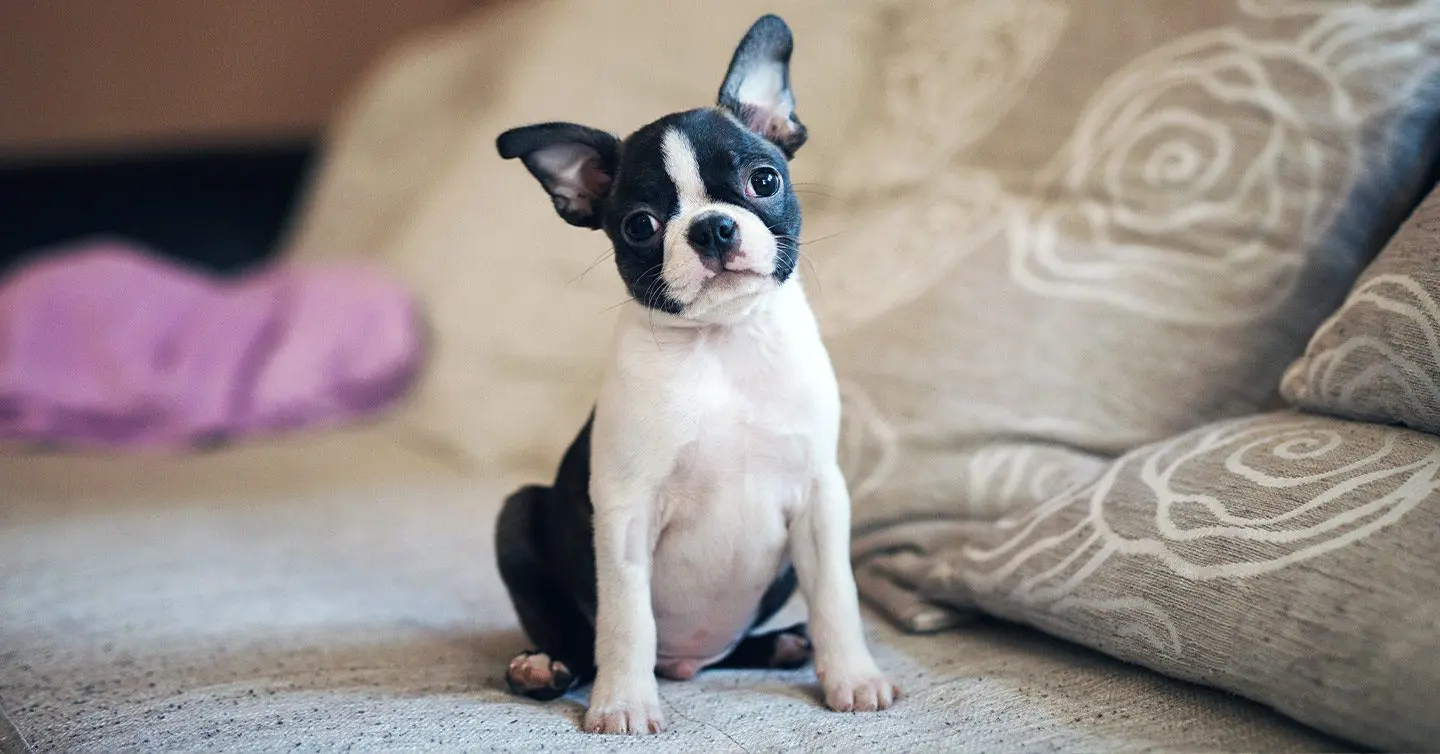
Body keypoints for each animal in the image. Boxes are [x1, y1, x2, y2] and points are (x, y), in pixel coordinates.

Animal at [495, 14, 898, 736]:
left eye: (764, 181)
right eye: (640, 225)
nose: (712, 228)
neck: (723, 342)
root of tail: (687, 664)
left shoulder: (820, 495)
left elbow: (837, 595)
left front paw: (852, 676)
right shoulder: (625, 510)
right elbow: (626, 616)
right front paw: (624, 704)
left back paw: (784, 644)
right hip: (517, 516)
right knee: (578, 639)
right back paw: (544, 666)